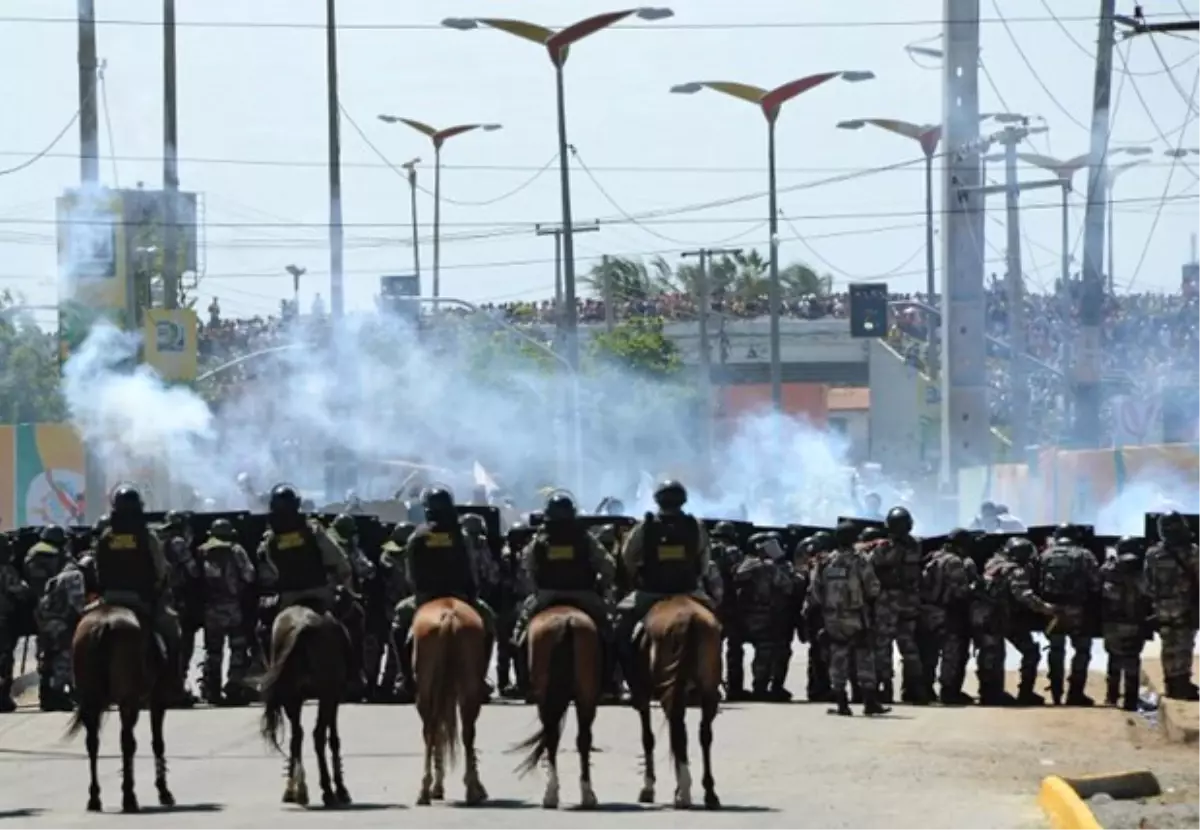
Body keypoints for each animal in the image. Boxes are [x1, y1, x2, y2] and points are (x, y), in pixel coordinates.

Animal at [65, 602, 174, 810]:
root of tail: (103, 624)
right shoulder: (158, 699)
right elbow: (158, 743)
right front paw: (163, 791)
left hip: (90, 699)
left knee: (92, 743)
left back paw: (94, 797)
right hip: (128, 701)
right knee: (127, 742)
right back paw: (129, 796)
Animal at [260, 602, 352, 810]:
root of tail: (303, 628)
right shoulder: (334, 696)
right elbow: (333, 739)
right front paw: (341, 789)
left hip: (291, 697)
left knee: (297, 736)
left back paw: (296, 790)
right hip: (325, 694)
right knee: (317, 735)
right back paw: (327, 790)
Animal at [412, 597, 487, 806]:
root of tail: (449, 614)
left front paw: (437, 786)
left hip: (426, 692)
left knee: (430, 731)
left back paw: (425, 788)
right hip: (469, 689)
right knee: (468, 733)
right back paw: (472, 789)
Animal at [511, 606, 600, 806]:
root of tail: (567, 621)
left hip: (545, 699)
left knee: (552, 738)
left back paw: (551, 793)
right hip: (587, 694)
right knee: (584, 739)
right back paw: (587, 793)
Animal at [628, 597, 720, 810]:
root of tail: (689, 620)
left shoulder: (643, 695)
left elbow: (648, 738)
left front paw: (648, 788)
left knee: (677, 731)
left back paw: (683, 793)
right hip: (708, 690)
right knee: (703, 734)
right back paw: (709, 792)